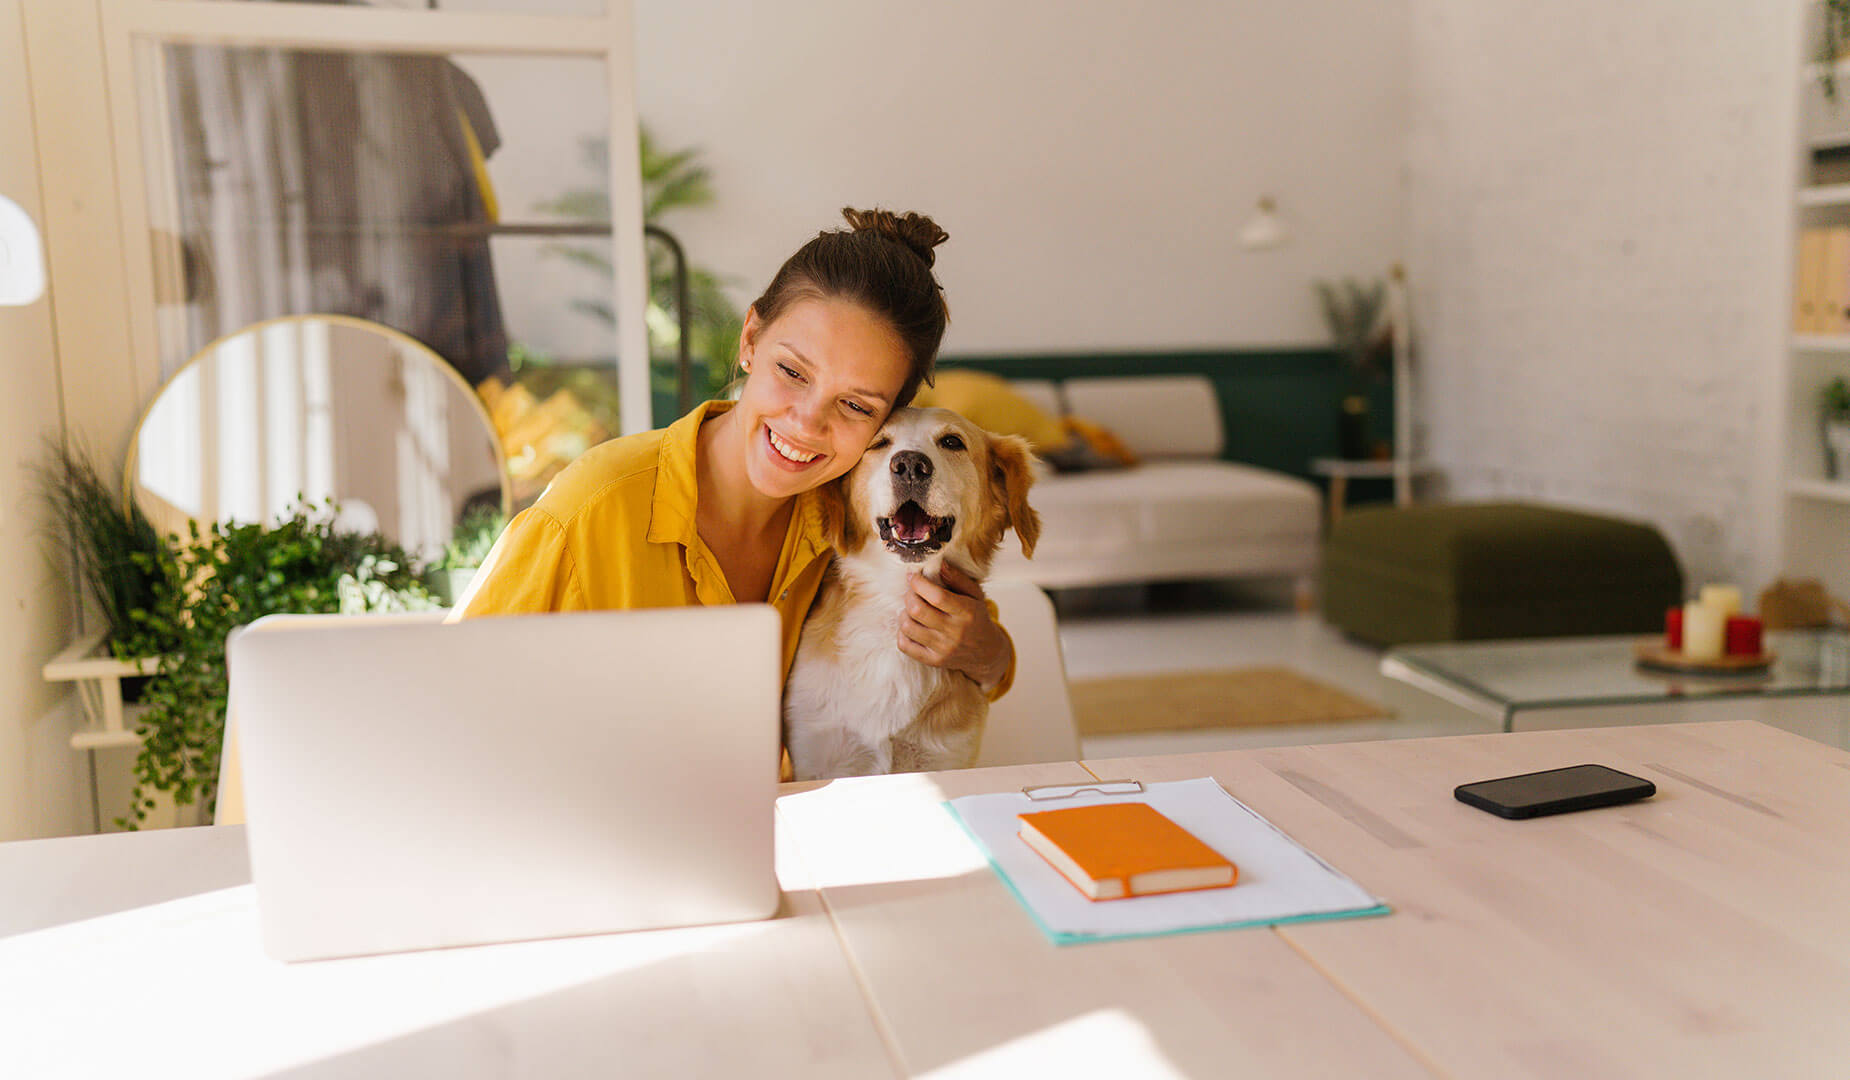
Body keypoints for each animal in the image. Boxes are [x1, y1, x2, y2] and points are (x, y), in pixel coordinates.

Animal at [780, 405, 1043, 776]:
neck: (897, 600)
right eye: (879, 443)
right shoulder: (819, 753)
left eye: (952, 441)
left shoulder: (944, 755)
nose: (910, 465)